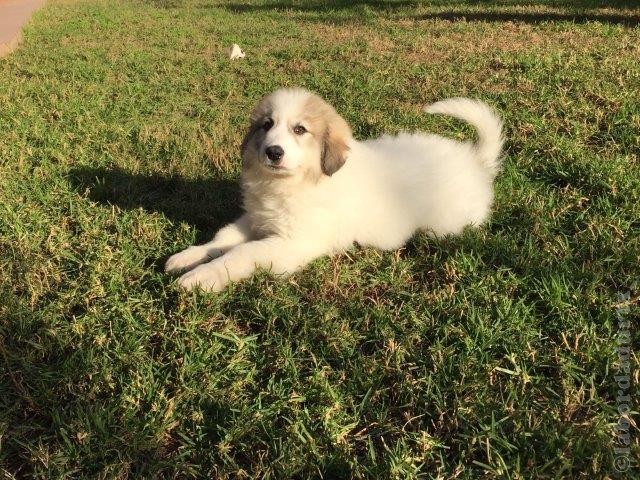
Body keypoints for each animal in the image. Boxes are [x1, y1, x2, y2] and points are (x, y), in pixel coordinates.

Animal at [166, 88, 504, 290]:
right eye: (266, 125)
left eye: (299, 129)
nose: (273, 152)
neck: (294, 183)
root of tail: (474, 160)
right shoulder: (256, 219)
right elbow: (223, 238)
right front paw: (188, 257)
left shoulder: (294, 242)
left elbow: (241, 253)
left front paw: (201, 277)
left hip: (445, 225)